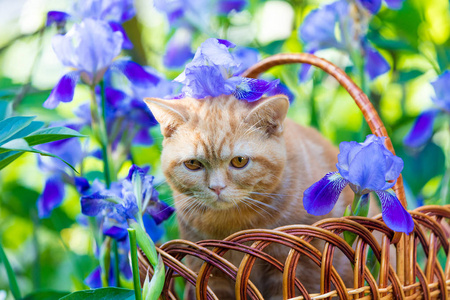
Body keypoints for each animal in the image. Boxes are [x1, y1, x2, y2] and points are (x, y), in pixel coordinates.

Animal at [146, 93, 364, 298]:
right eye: (192, 164)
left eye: (239, 161)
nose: (216, 187)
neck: (233, 223)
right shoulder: (207, 268)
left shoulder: (294, 266)